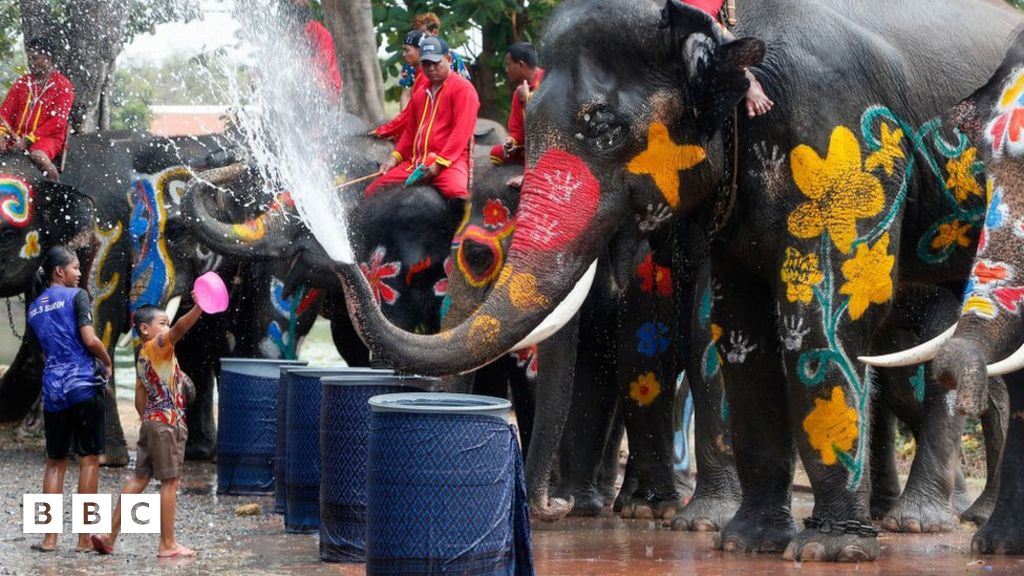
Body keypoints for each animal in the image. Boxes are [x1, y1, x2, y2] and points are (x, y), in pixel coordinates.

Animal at [339, 0, 1024, 557]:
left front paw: (824, 550)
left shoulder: (842, 144)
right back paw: (974, 535)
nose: (549, 510)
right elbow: (732, 328)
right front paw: (743, 541)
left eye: (603, 124)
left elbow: (814, 320)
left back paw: (918, 524)